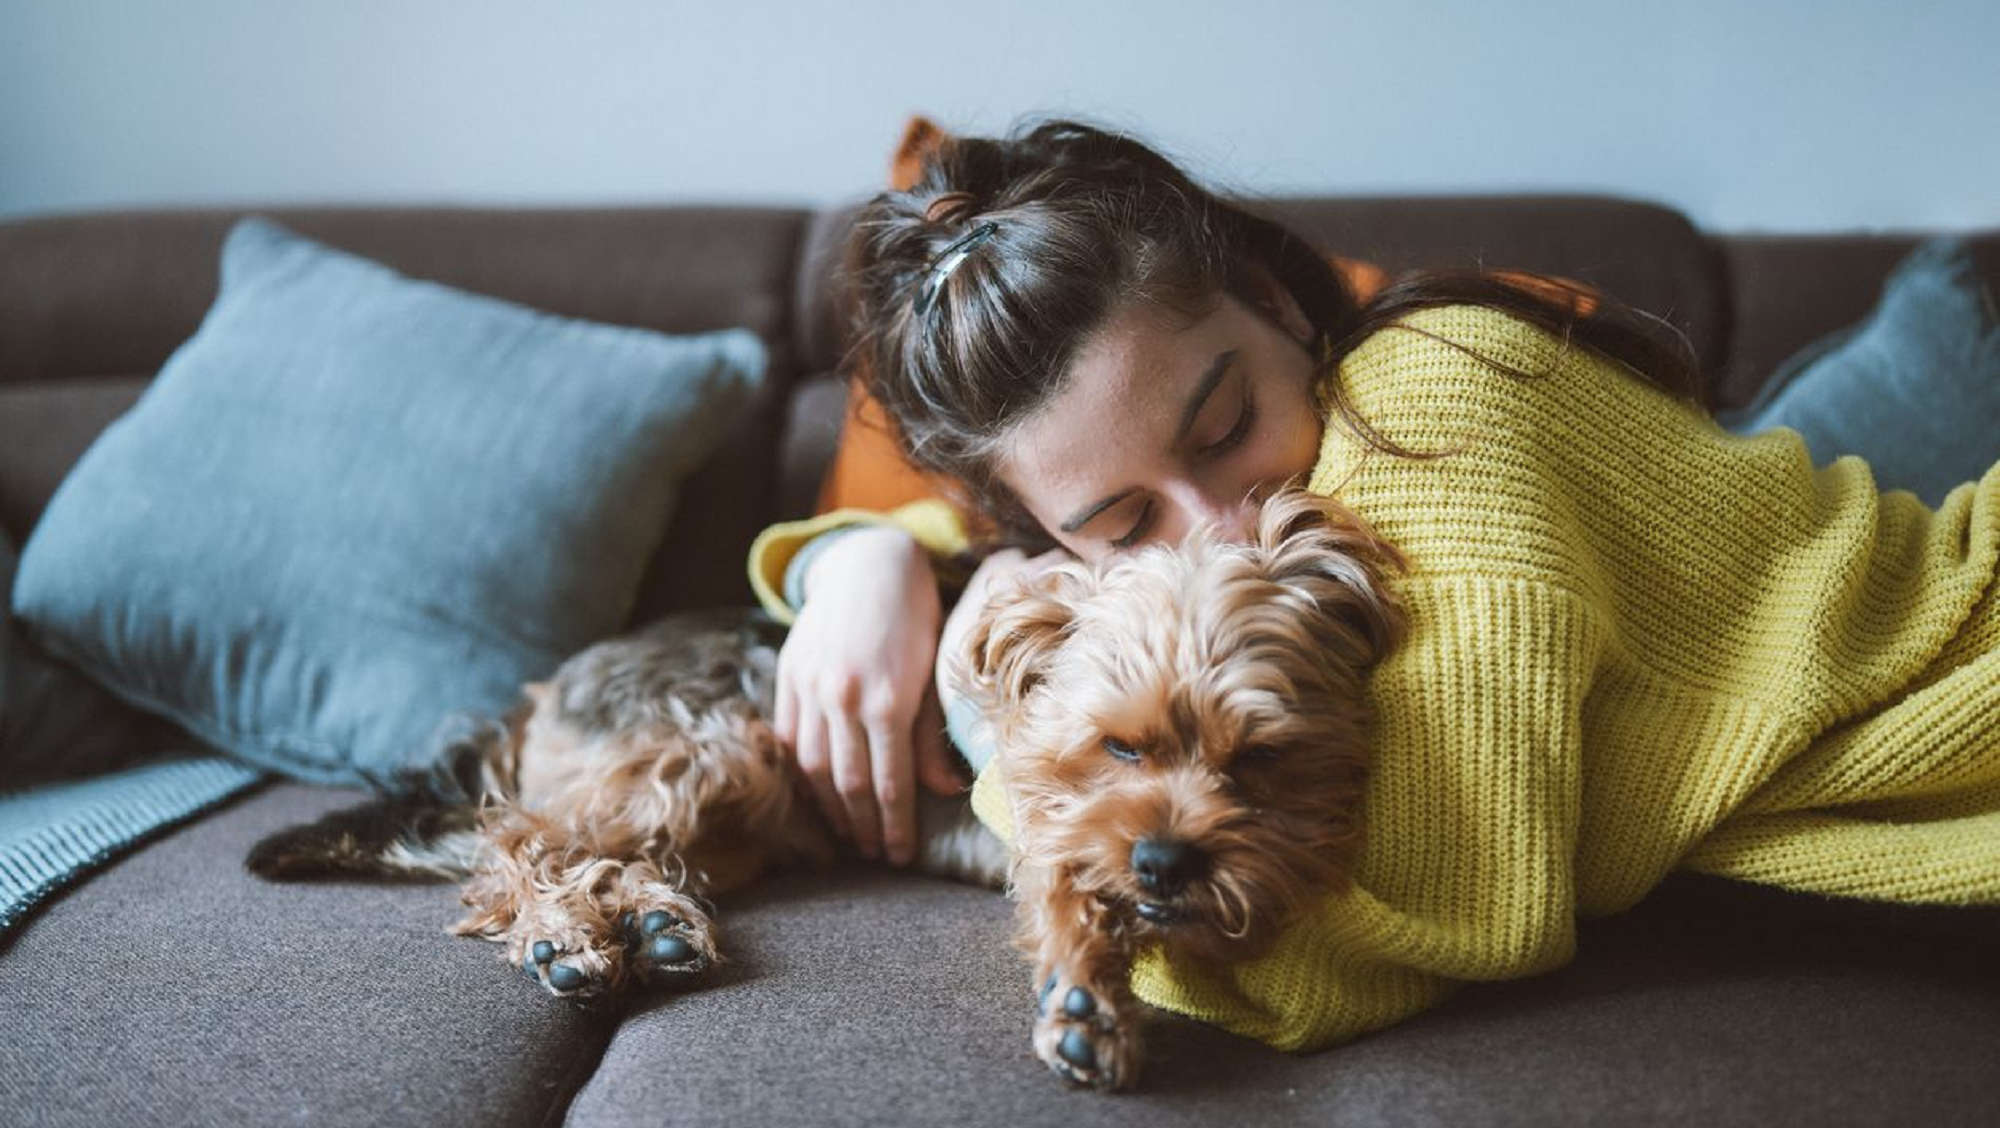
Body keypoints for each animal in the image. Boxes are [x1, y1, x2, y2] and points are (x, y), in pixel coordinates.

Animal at [250, 492, 1408, 1096]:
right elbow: (1068, 878)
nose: (1167, 862)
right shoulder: (1055, 815)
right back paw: (567, 935)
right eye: (1116, 748)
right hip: (714, 746)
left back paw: (652, 924)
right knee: (518, 843)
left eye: (1259, 760)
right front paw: (1085, 987)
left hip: (742, 810)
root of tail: (548, 686)